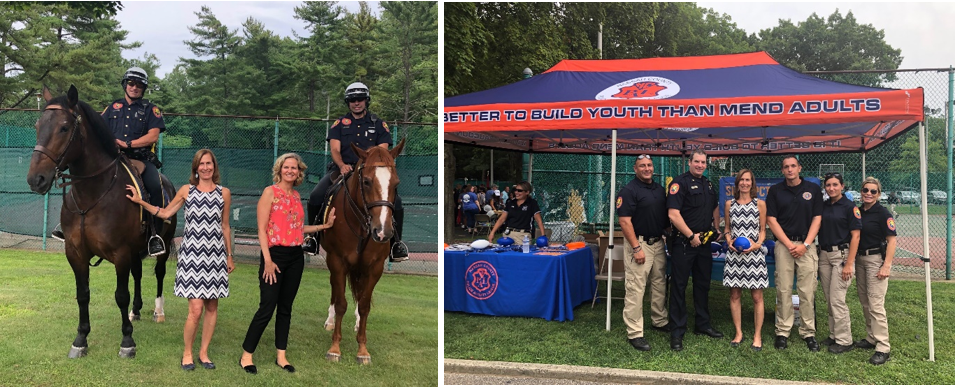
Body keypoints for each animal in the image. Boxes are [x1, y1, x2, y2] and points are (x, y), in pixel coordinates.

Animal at [25, 86, 176, 360]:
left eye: (64, 127)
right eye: (37, 125)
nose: (36, 179)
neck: (92, 194)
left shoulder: (120, 253)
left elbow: (121, 295)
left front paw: (127, 341)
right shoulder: (76, 253)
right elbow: (82, 295)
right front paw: (80, 339)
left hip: (164, 244)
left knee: (159, 273)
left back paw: (158, 311)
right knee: (138, 274)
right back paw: (137, 311)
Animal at [324, 138, 406, 366]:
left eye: (396, 184)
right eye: (367, 181)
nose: (383, 232)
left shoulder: (374, 267)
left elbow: (364, 305)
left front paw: (362, 350)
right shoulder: (337, 261)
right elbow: (341, 302)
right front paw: (335, 348)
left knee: (360, 296)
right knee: (335, 290)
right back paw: (330, 321)